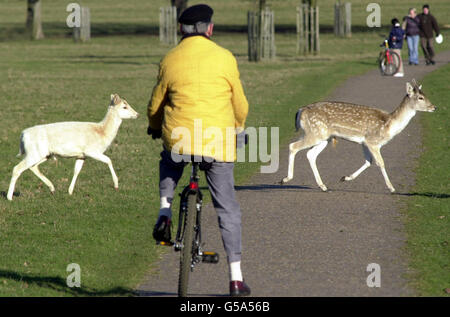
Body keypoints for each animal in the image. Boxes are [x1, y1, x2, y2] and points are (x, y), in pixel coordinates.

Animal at [6, 92, 137, 200]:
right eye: (124, 106)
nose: (137, 114)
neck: (102, 132)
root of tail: (23, 135)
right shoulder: (91, 151)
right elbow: (108, 160)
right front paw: (116, 185)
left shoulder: (82, 155)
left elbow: (76, 170)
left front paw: (69, 191)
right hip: (34, 153)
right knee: (17, 168)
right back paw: (9, 197)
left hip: (43, 154)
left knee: (33, 167)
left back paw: (52, 188)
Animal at [282, 79, 436, 193]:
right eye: (420, 97)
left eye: (425, 95)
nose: (434, 107)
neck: (389, 125)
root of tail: (300, 111)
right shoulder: (373, 141)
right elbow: (380, 162)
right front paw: (392, 188)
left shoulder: (364, 143)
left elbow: (369, 161)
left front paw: (345, 177)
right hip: (315, 133)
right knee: (293, 146)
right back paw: (285, 179)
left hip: (322, 137)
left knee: (310, 154)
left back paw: (323, 186)